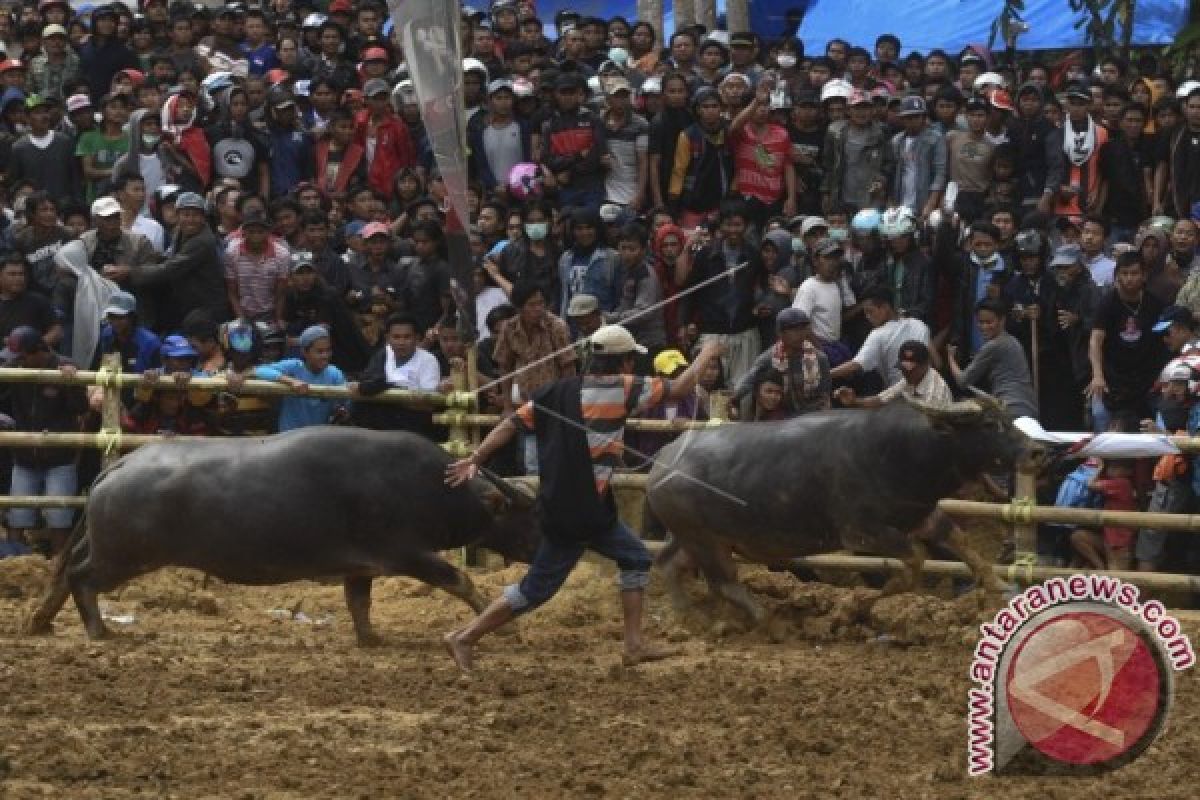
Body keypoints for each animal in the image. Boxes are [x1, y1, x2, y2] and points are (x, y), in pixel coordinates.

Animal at [24, 424, 540, 642]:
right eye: (527, 514)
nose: (547, 546)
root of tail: (120, 465)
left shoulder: (360, 566)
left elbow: (359, 604)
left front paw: (371, 638)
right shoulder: (406, 553)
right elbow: (461, 580)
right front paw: (507, 627)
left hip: (104, 547)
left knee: (65, 572)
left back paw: (41, 621)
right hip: (122, 558)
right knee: (82, 579)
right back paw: (99, 631)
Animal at [648, 398, 1032, 623]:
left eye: (1007, 418)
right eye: (989, 424)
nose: (1037, 450)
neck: (899, 452)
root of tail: (662, 462)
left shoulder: (921, 515)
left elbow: (964, 545)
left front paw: (1002, 587)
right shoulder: (861, 533)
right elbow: (914, 560)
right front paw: (862, 601)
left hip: (690, 537)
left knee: (670, 564)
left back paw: (688, 616)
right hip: (706, 541)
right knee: (723, 582)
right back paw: (762, 618)